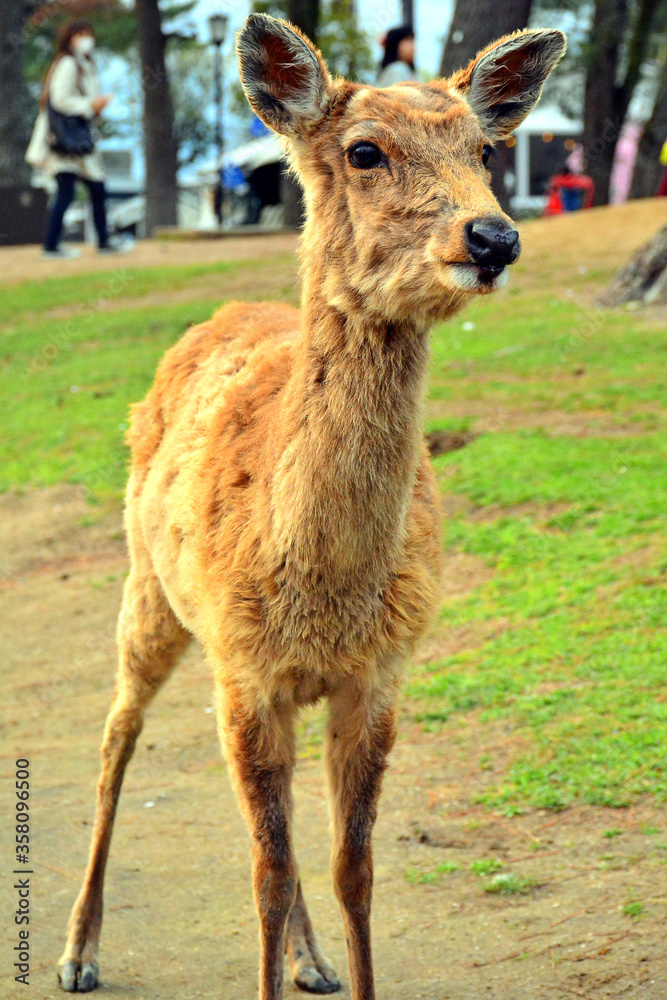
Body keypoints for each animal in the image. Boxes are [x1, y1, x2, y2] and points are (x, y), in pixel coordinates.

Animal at [57, 15, 568, 1000]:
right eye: (364, 150)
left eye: (487, 150)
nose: (492, 237)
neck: (324, 594)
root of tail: (218, 313)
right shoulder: (244, 666)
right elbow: (266, 868)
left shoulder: (378, 673)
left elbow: (347, 867)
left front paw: (338, 960)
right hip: (149, 585)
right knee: (114, 737)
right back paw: (77, 951)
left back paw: (312, 960)